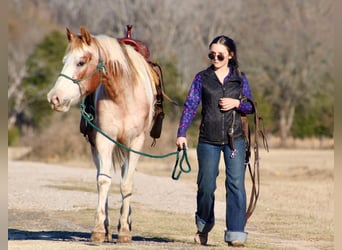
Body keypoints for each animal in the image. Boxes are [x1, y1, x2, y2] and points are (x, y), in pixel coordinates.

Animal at [47, 26, 159, 243]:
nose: (54, 98)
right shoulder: (103, 140)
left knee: (125, 175)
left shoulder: (136, 143)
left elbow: (126, 185)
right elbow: (103, 181)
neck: (123, 94)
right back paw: (107, 228)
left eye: (81, 62)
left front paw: (124, 231)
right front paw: (99, 229)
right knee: (102, 176)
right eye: (64, 61)